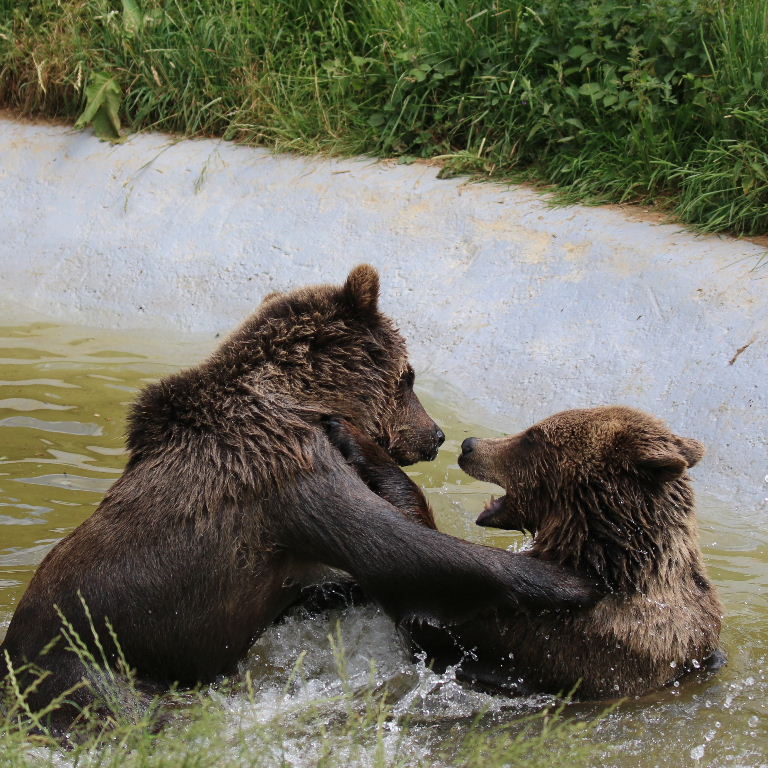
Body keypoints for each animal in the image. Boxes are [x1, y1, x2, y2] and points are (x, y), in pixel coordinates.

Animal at [0, 266, 592, 728]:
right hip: (88, 666)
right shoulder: (290, 473)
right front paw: (567, 581)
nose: (438, 435)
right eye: (409, 375)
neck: (303, 396)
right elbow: (403, 550)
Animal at [328, 404, 724, 700]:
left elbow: (424, 601)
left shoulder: (555, 636)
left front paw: (350, 435)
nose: (468, 444)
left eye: (534, 436)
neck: (600, 557)